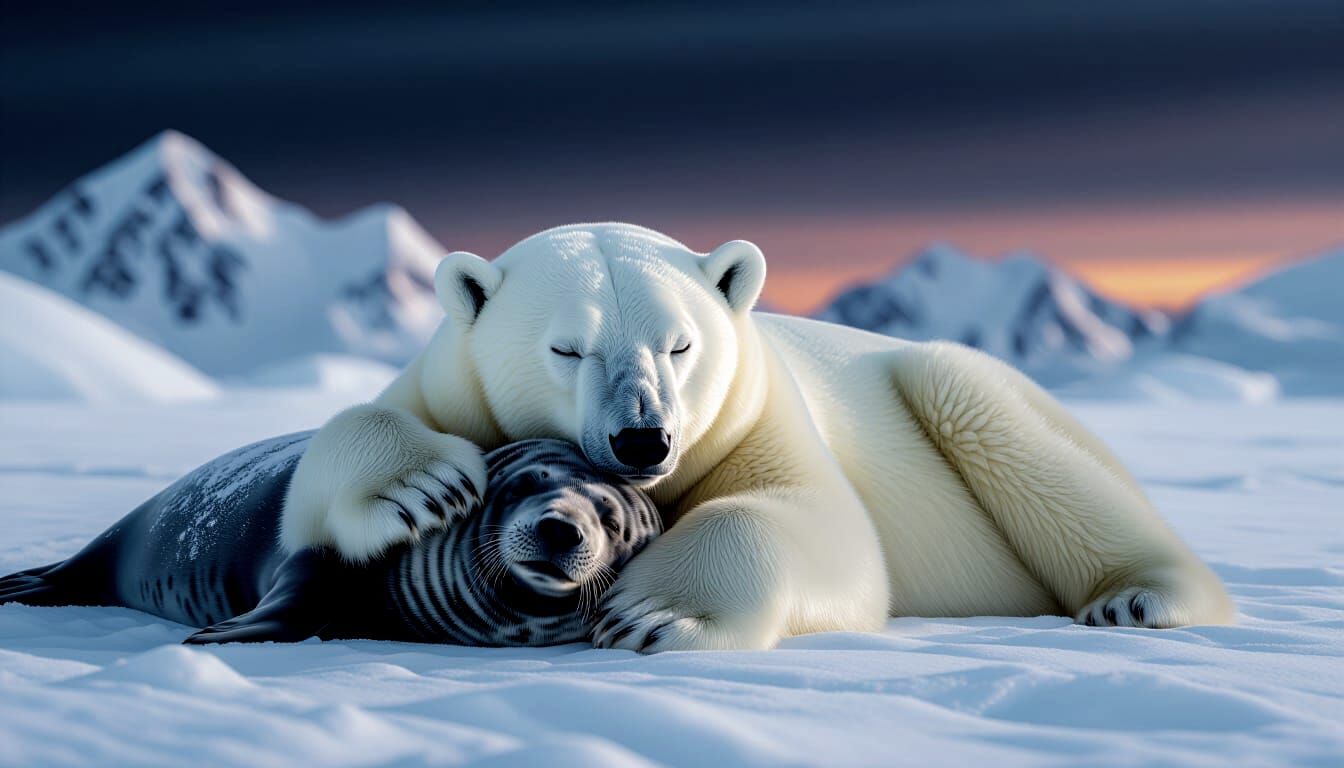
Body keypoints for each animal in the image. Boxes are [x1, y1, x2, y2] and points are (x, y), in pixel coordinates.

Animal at [280, 222, 1235, 651]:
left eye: (681, 344)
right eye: (567, 347)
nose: (644, 441)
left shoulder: (758, 413)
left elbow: (817, 526)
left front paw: (657, 612)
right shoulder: (451, 388)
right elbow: (325, 462)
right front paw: (422, 487)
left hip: (963, 393)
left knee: (1006, 435)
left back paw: (1139, 596)